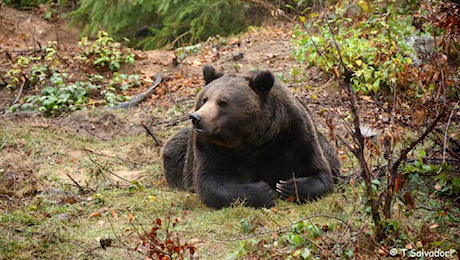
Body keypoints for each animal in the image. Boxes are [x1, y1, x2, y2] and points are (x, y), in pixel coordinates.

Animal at [161, 65, 338, 209]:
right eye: (204, 99)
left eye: (222, 102)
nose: (197, 117)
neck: (251, 141)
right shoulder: (210, 149)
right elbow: (211, 182)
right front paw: (264, 191)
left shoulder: (293, 136)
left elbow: (320, 172)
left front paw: (286, 186)